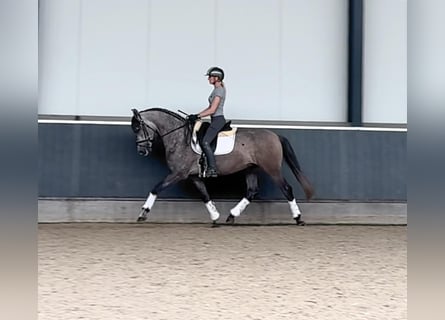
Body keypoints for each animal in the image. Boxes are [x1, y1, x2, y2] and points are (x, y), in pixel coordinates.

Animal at [130, 107, 314, 225]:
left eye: (139, 127)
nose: (141, 150)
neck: (180, 137)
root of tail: (275, 135)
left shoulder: (178, 173)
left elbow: (156, 188)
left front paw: (143, 213)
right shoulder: (193, 176)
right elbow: (205, 195)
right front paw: (215, 216)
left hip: (272, 169)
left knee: (287, 189)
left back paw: (298, 218)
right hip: (251, 169)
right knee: (252, 191)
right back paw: (231, 216)